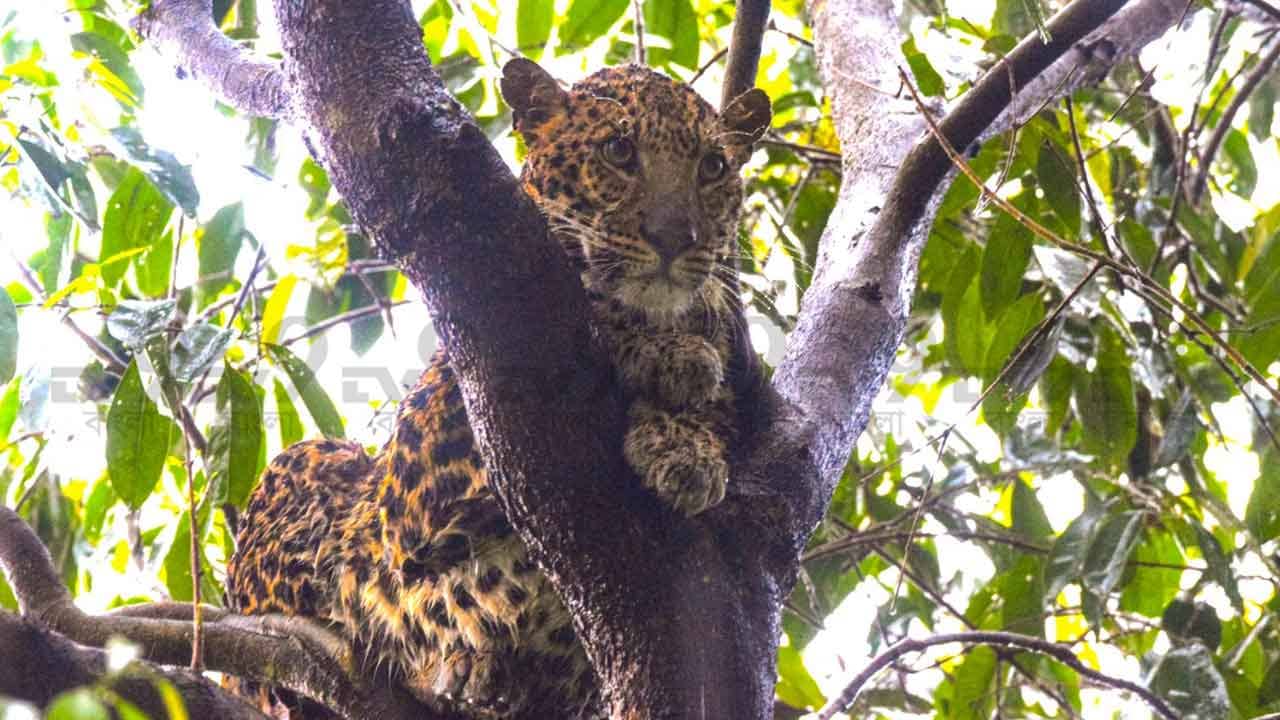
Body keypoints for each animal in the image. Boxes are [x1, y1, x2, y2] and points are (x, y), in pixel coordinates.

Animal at [225, 59, 771, 719]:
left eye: (713, 167)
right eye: (618, 151)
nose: (675, 237)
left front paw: (687, 447)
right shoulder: (428, 472)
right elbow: (597, 303)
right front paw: (672, 355)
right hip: (309, 478)